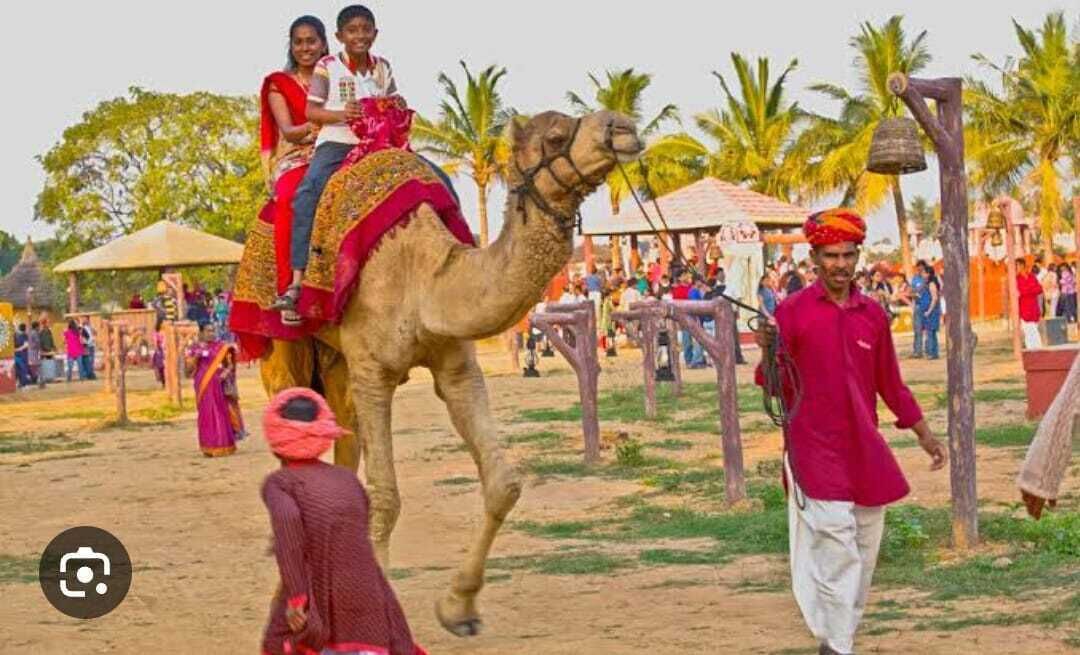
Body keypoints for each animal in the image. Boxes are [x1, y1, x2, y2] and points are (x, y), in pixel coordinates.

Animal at [258, 110, 642, 636]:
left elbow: (503, 484)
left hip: (334, 362)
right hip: (282, 347)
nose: (623, 126)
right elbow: (385, 496)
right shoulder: (373, 372)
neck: (424, 278)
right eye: (556, 135)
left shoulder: (456, 365)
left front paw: (459, 607)